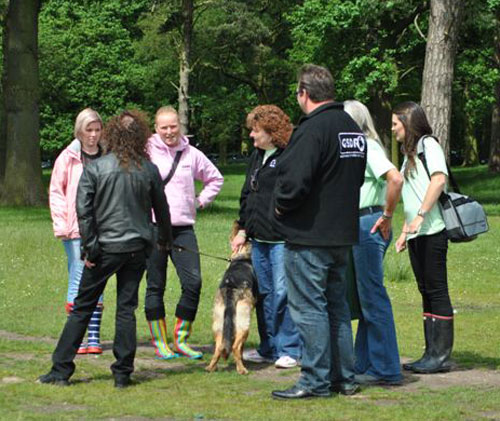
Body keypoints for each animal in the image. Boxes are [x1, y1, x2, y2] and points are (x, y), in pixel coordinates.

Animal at [205, 223, 256, 374]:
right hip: (244, 324)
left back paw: (211, 367)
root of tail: (230, 289)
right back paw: (242, 369)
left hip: (218, 323)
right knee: (235, 347)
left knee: (219, 347)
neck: (242, 256)